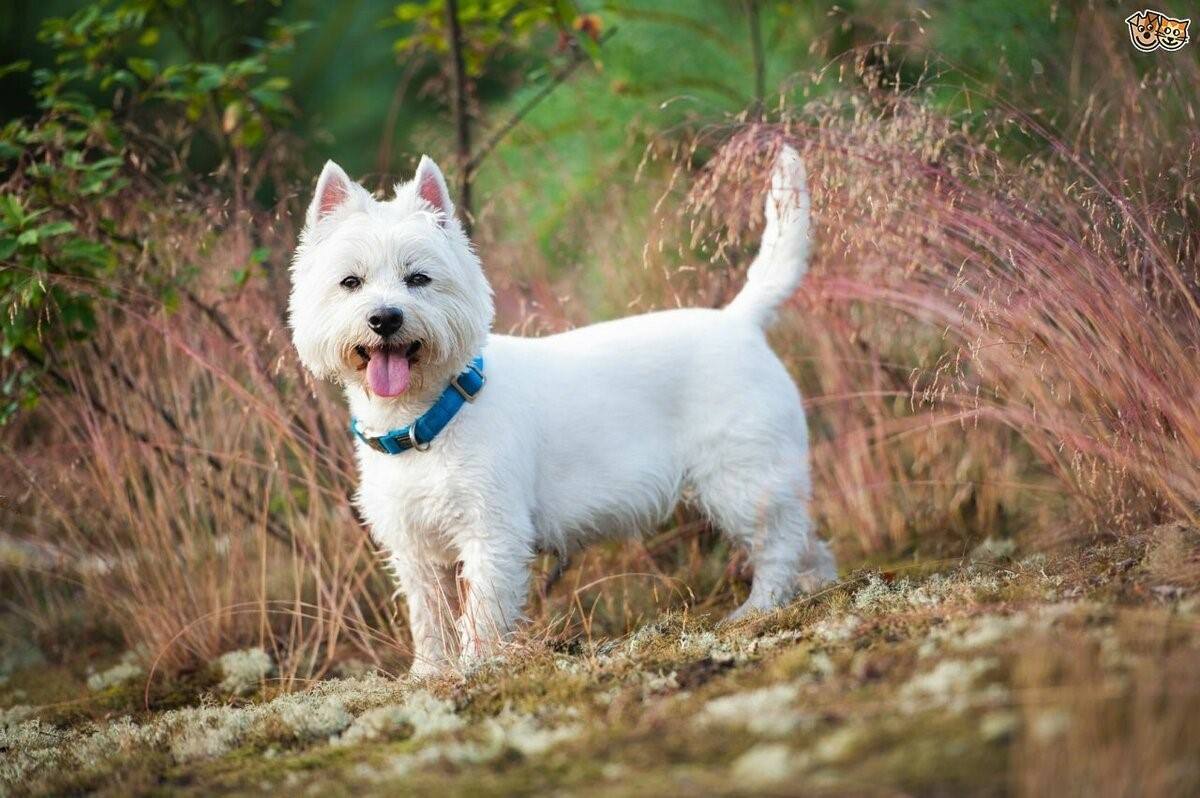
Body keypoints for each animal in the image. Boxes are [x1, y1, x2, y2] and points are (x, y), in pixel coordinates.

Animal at [289, 147, 835, 672]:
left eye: (418, 278)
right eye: (351, 282)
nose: (385, 318)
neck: (426, 419)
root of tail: (741, 320)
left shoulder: (493, 530)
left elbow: (482, 611)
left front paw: (476, 667)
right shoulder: (415, 548)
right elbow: (430, 619)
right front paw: (428, 674)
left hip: (741, 477)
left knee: (779, 542)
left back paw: (758, 608)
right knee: (810, 540)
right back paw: (819, 589)